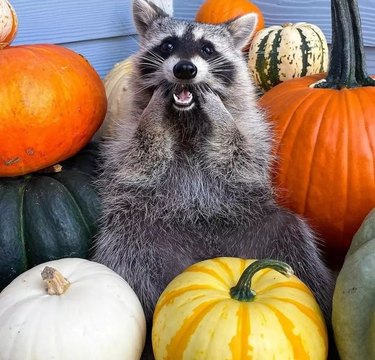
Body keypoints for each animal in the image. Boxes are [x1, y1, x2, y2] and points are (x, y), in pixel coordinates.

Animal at [92, 0, 334, 332]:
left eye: (207, 49)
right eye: (168, 45)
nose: (184, 69)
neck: (187, 117)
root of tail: (205, 256)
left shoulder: (254, 135)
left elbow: (239, 159)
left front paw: (219, 115)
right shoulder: (122, 138)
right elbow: (141, 159)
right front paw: (154, 115)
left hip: (257, 227)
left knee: (294, 238)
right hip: (146, 234)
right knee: (125, 247)